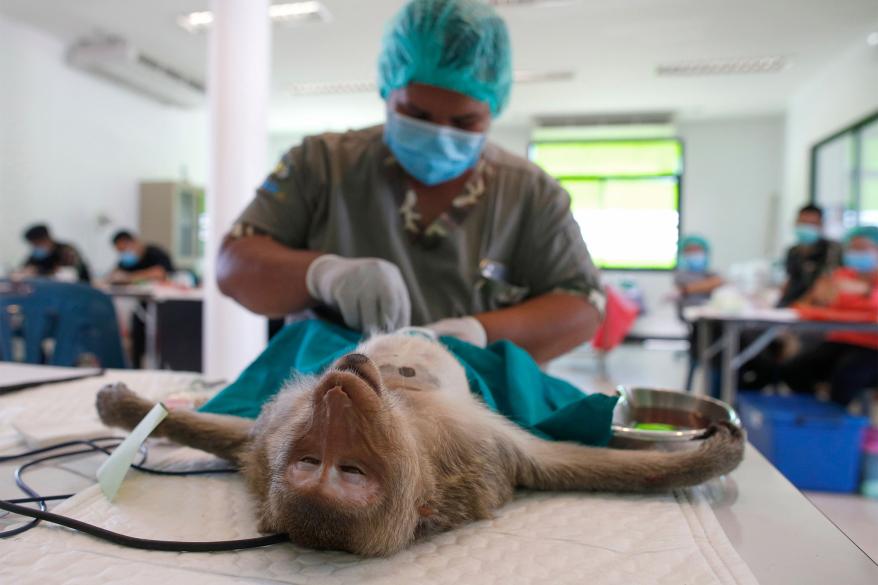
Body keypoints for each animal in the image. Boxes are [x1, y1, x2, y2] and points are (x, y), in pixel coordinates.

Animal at [96, 330, 744, 556]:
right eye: (318, 465)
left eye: (341, 468)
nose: (337, 401)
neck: (406, 418)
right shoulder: (483, 449)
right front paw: (716, 454)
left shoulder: (467, 449)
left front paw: (127, 408)